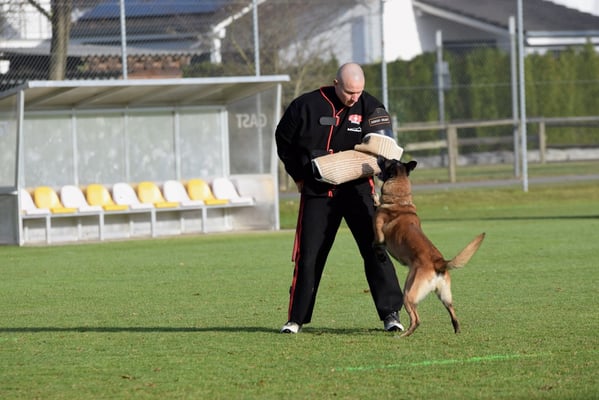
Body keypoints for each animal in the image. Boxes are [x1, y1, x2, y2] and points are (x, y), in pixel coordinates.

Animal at [373, 159, 485, 337]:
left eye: (387, 161)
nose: (378, 157)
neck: (400, 199)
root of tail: (439, 262)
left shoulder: (378, 229)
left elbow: (377, 240)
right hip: (444, 295)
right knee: (452, 312)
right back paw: (456, 329)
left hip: (408, 294)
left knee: (416, 319)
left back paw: (404, 335)